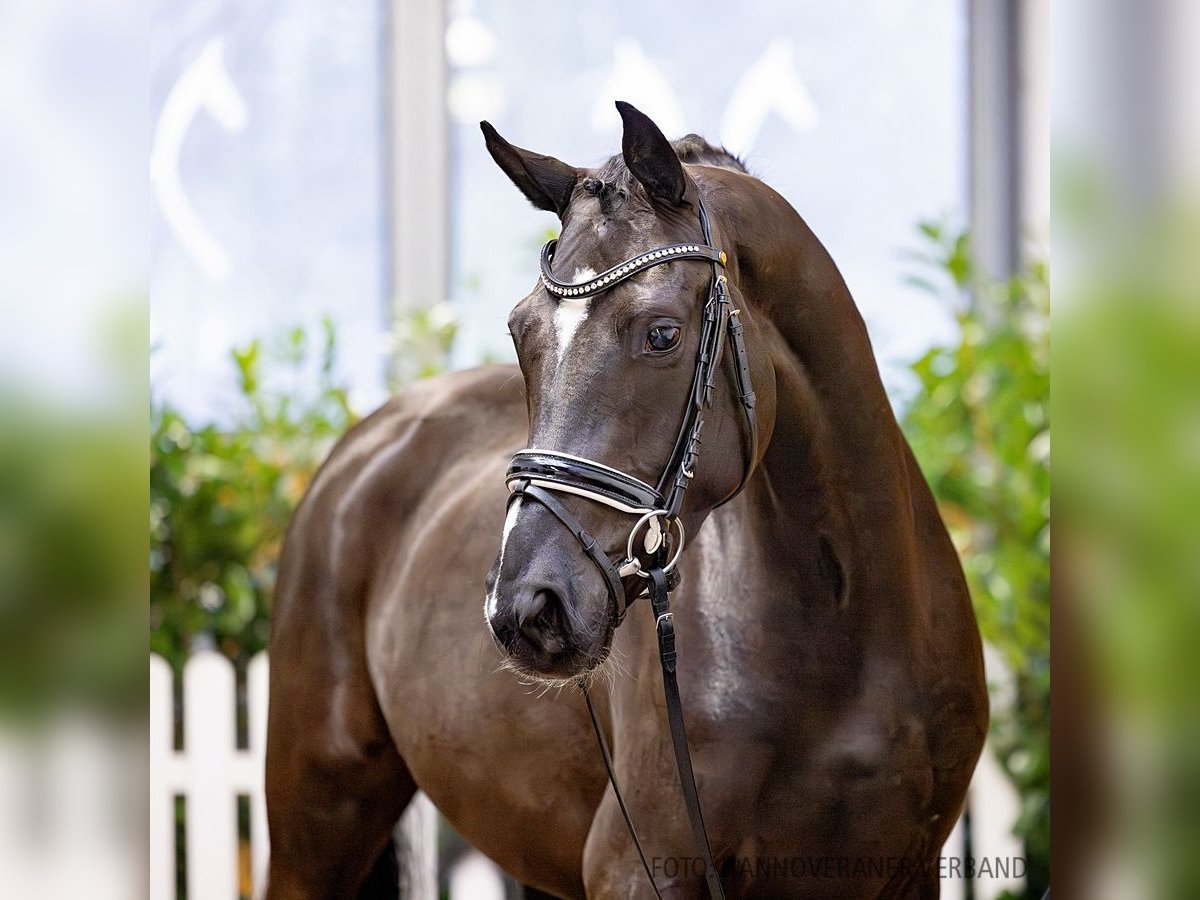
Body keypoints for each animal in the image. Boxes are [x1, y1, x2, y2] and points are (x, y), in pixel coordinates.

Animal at [267, 102, 988, 897]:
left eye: (662, 334)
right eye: (520, 331)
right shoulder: (639, 867)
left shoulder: (911, 872)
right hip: (317, 823)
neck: (841, 627)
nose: (528, 607)